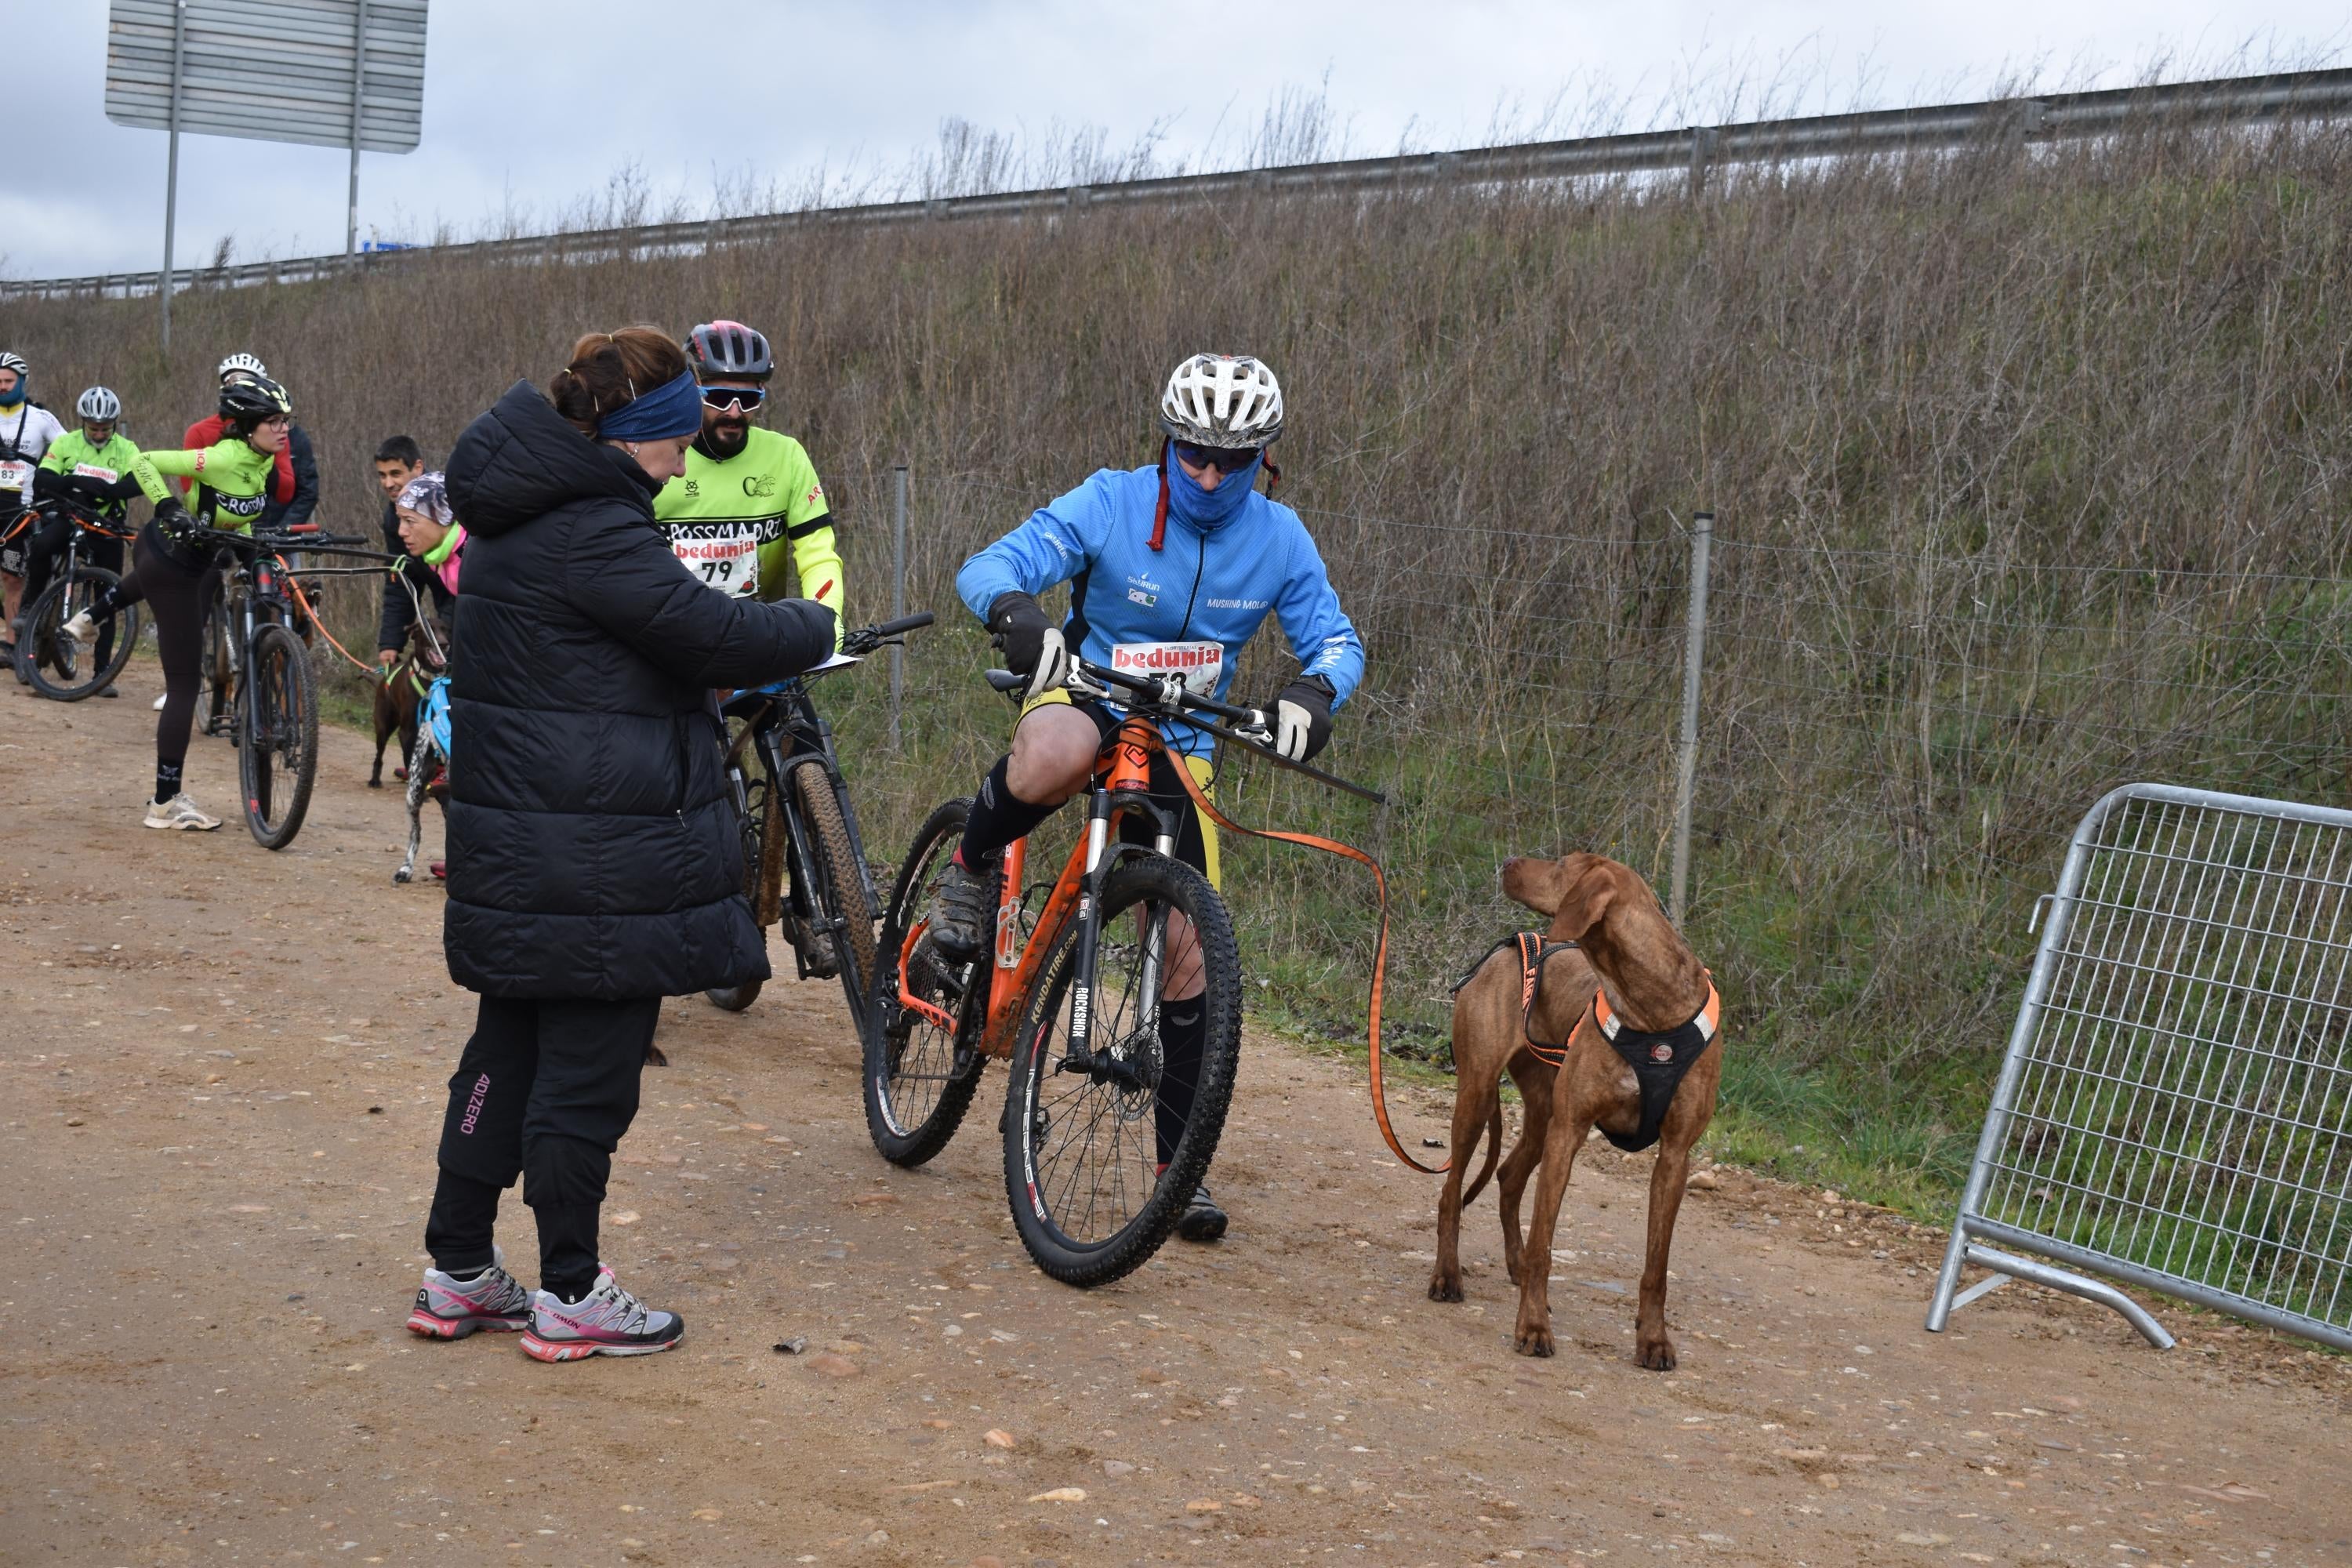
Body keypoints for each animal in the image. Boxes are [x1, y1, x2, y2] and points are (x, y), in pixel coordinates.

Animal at [1421, 851, 1722, 1363]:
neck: (1649, 1011)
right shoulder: (1569, 1132)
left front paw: (1653, 1339)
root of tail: (1508, 947)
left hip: (1541, 1114)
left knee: (1507, 1177)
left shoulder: (1676, 1155)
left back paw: (1515, 1265)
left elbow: (1656, 1267)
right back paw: (1448, 1275)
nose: (1507, 860)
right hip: (1478, 1097)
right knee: (1451, 1193)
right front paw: (1533, 1327)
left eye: (1562, 865)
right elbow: (1545, 1243)